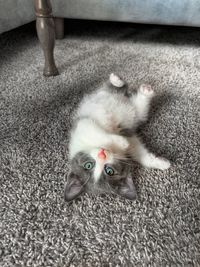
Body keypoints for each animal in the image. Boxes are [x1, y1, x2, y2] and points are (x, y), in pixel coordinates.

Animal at [65, 74, 171, 202]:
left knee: (116, 87)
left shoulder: (82, 129)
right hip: (134, 114)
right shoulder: (128, 141)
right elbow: (137, 151)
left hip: (105, 96)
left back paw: (116, 80)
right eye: (109, 171)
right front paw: (161, 163)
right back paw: (145, 92)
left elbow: (98, 133)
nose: (102, 154)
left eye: (88, 165)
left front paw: (121, 141)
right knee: (139, 109)